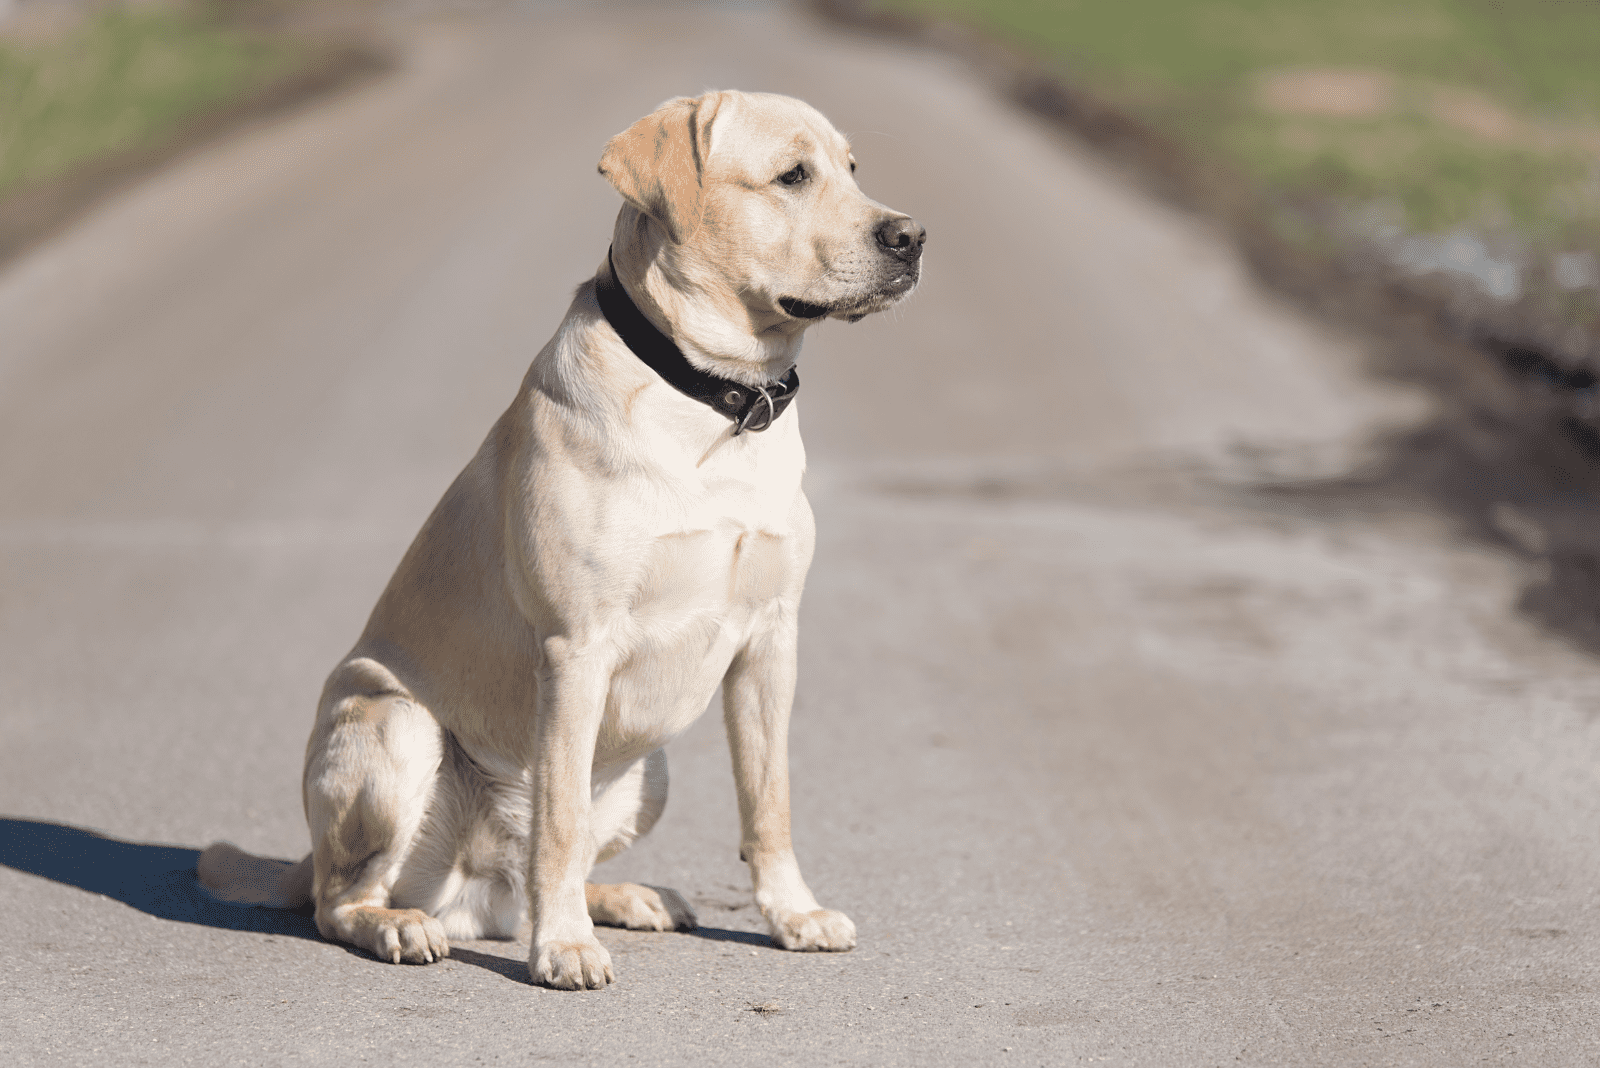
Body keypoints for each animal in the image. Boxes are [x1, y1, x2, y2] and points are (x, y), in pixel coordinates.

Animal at [200, 91, 928, 991]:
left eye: (853, 169)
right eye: (792, 176)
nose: (912, 237)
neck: (713, 400)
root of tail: (472, 892)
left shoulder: (771, 640)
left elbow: (770, 800)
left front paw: (793, 915)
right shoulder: (576, 648)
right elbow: (559, 818)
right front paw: (566, 949)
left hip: (651, 771)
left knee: (536, 875)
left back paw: (625, 898)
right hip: (394, 725)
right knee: (343, 901)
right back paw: (408, 926)